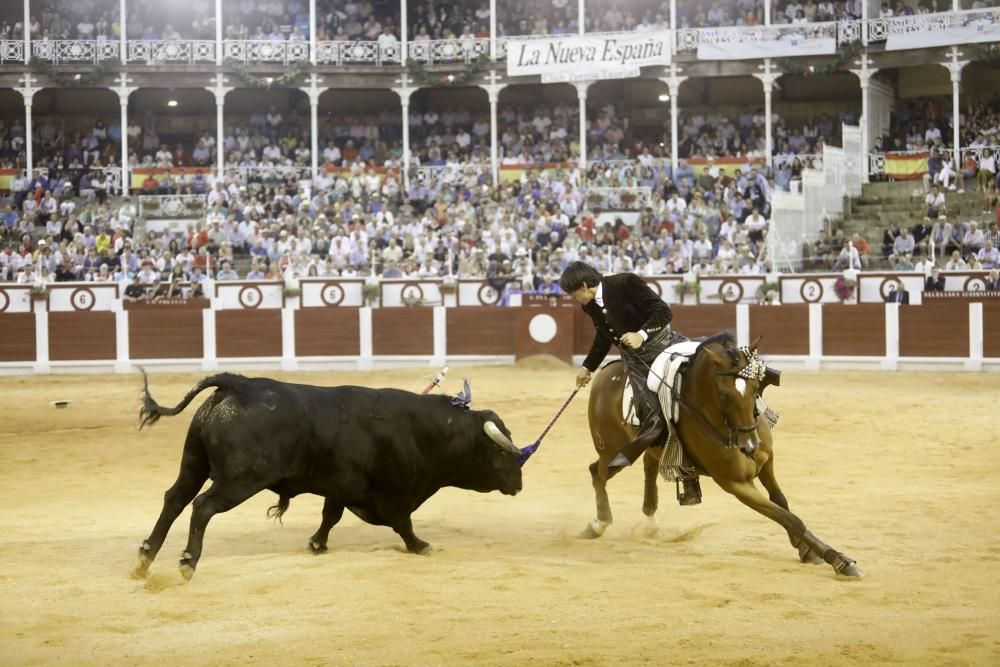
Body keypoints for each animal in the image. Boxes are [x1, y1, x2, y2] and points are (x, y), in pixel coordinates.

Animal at [131, 374, 524, 580]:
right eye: (502, 452)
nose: (519, 484)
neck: (427, 432)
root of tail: (239, 384)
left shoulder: (341, 486)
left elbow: (329, 516)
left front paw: (317, 544)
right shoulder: (395, 495)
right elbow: (404, 523)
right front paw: (420, 546)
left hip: (194, 463)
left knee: (174, 499)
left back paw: (145, 558)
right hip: (239, 480)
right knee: (202, 506)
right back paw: (187, 562)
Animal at [584, 334, 864, 580]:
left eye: (755, 387)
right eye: (723, 394)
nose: (749, 446)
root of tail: (604, 375)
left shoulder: (766, 462)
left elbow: (781, 502)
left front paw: (806, 549)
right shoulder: (735, 483)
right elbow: (788, 518)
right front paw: (840, 561)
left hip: (649, 447)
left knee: (647, 468)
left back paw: (649, 524)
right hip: (611, 448)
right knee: (597, 471)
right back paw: (598, 523)